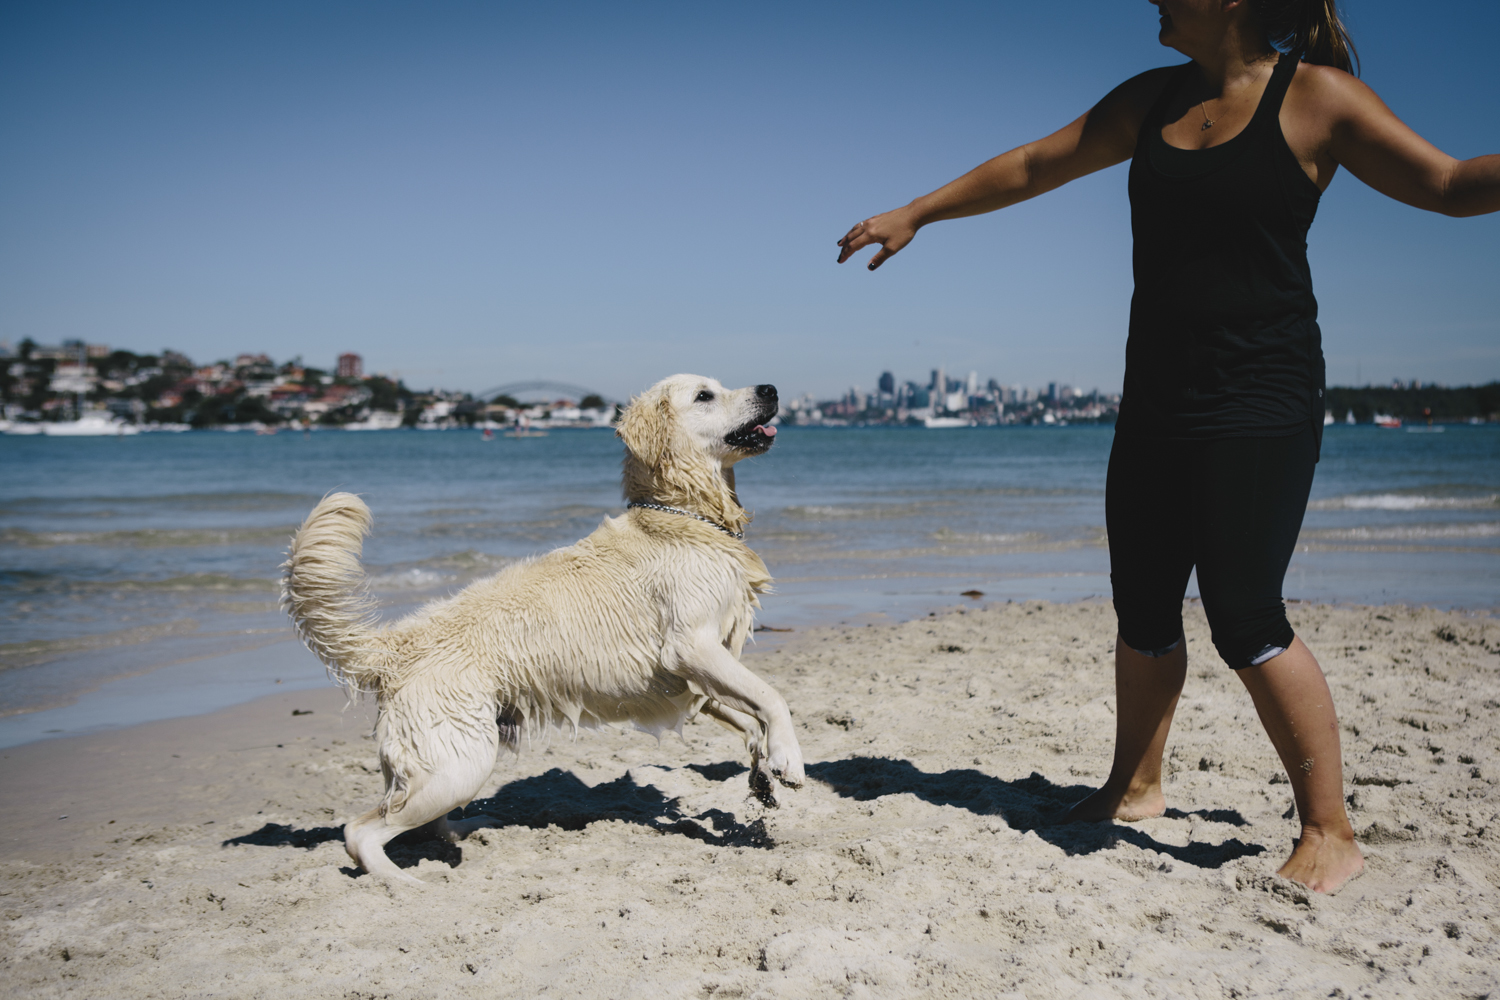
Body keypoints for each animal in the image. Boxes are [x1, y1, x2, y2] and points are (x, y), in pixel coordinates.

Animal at [279, 374, 798, 881]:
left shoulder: (701, 674)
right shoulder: (690, 648)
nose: (771, 389)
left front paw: (763, 771)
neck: (683, 515)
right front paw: (788, 759)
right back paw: (406, 883)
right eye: (704, 395)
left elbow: (749, 714)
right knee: (361, 830)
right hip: (458, 762)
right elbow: (772, 696)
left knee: (422, 821)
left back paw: (470, 827)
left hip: (451, 761)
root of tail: (396, 645)